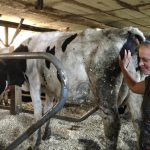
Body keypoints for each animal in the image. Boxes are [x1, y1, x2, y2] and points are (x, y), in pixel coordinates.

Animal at [0, 26, 145, 149]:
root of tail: (128, 31)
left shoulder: (34, 81)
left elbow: (37, 113)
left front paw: (35, 142)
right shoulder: (49, 88)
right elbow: (47, 110)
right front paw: (46, 135)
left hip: (105, 91)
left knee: (112, 124)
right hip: (136, 92)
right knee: (139, 123)